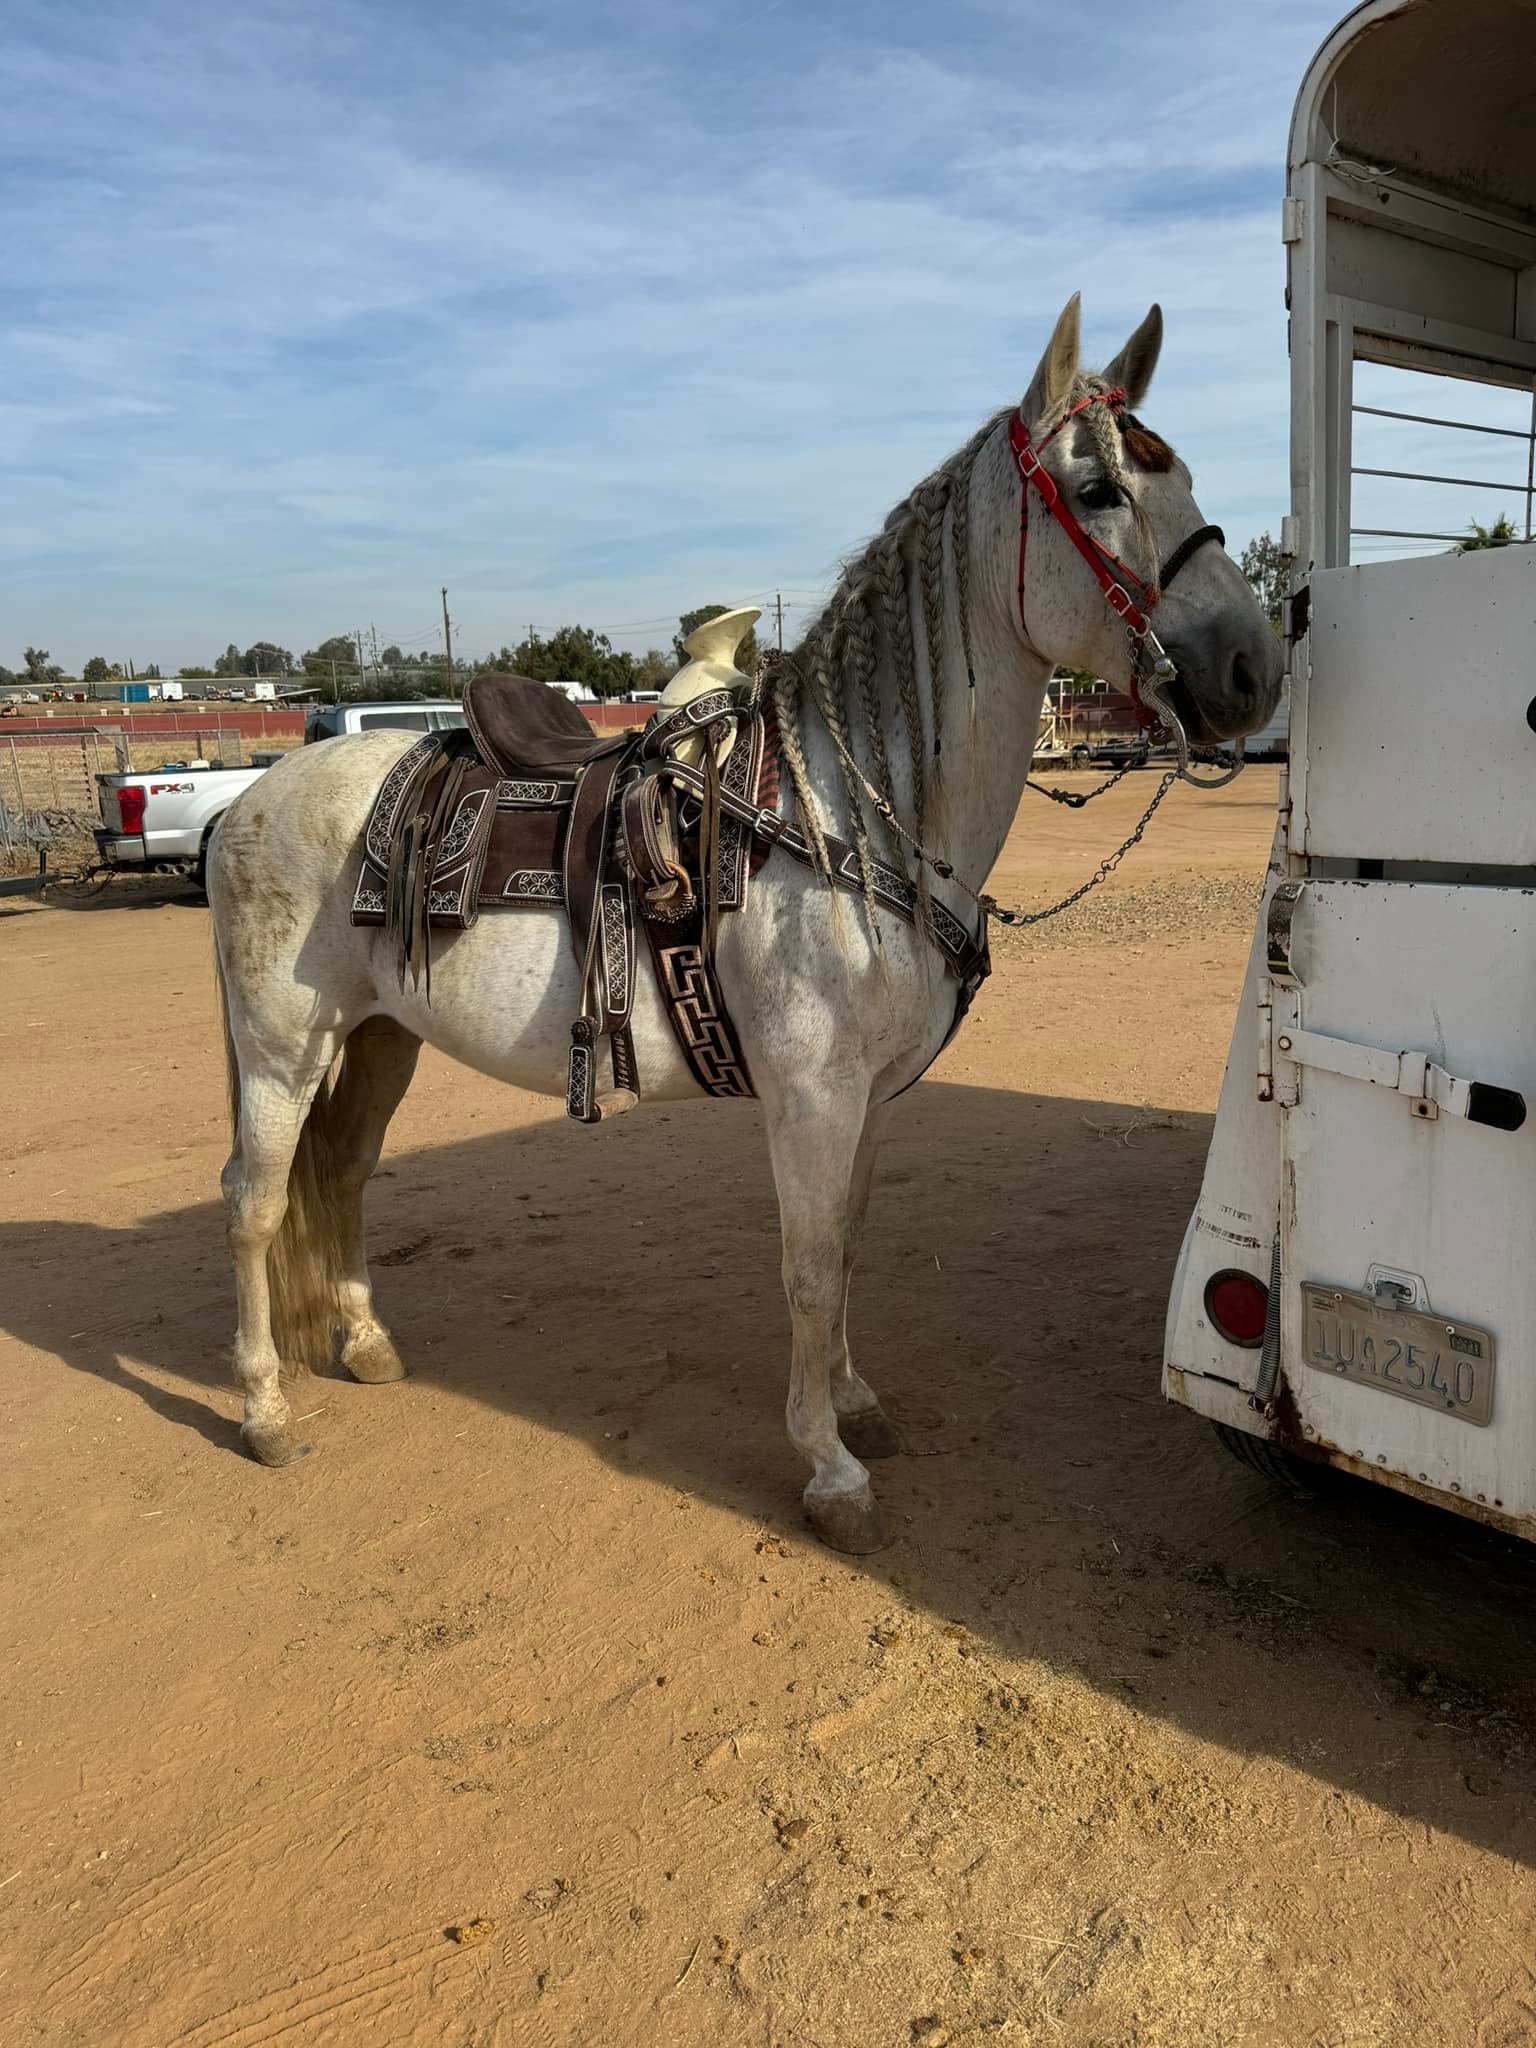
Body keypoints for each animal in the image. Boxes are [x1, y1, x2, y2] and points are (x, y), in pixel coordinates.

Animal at [208, 294, 1282, 1553]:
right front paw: (827, 1466)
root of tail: (248, 801)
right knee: (256, 1199)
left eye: (1185, 473)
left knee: (340, 1175)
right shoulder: (811, 1094)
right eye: (1102, 486)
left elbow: (849, 1247)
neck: (848, 809)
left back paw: (367, 1342)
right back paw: (264, 1409)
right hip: (281, 1047)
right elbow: (808, 1266)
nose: (1252, 668)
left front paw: (856, 1402)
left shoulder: (870, 1097)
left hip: (378, 1039)